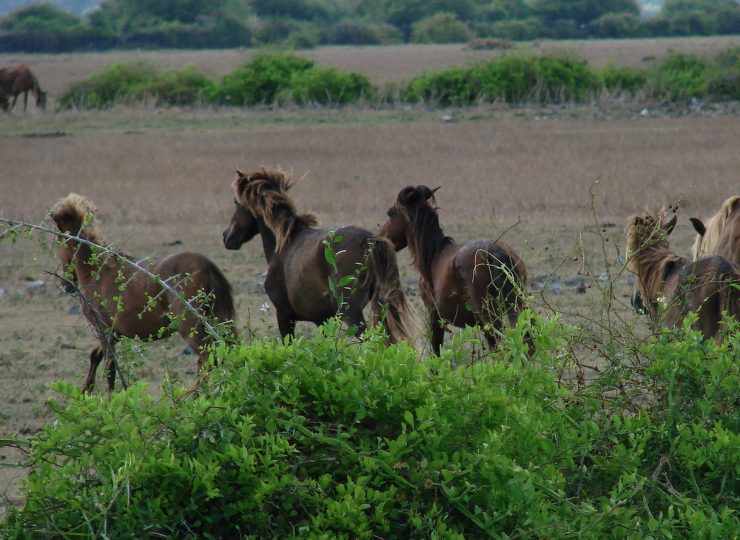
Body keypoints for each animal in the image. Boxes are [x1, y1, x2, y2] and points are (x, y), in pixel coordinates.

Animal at [51, 194, 236, 392]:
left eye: (59, 240)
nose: (66, 284)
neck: (97, 271)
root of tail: (208, 266)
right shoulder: (113, 334)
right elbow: (96, 356)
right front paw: (87, 391)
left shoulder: (104, 331)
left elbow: (110, 370)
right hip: (217, 321)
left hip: (191, 326)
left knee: (208, 359)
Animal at [231, 167, 416, 344]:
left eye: (236, 203)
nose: (228, 238)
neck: (285, 241)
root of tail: (371, 240)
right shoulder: (322, 320)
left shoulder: (284, 315)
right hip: (381, 307)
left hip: (351, 312)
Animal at [378, 184, 528, 356]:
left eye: (390, 213)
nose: (380, 236)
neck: (435, 254)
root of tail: (493, 251)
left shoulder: (435, 317)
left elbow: (436, 353)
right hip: (519, 306)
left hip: (491, 317)